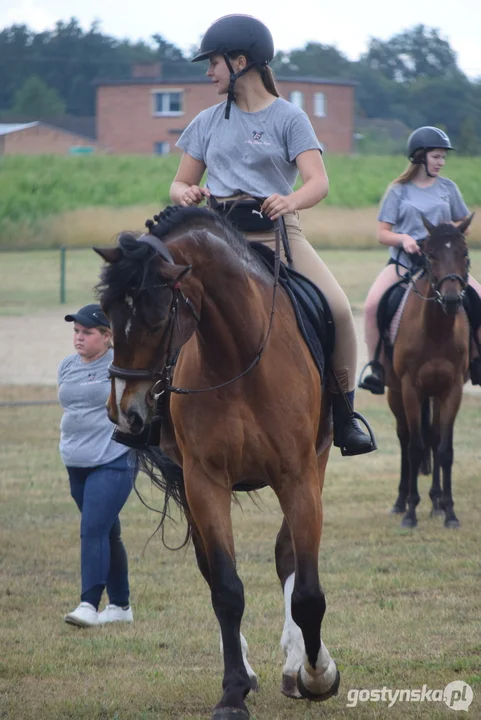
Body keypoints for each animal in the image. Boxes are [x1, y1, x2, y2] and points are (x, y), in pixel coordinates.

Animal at [94, 205, 340, 720]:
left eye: (155, 318)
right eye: (106, 313)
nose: (124, 413)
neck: (238, 355)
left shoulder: (298, 475)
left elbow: (306, 590)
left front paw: (317, 674)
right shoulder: (204, 481)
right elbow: (226, 589)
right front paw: (232, 691)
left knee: (287, 557)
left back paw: (296, 665)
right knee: (211, 572)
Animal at [384, 214, 470, 528]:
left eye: (464, 255)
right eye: (430, 255)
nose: (452, 300)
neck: (435, 332)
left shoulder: (452, 389)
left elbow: (444, 450)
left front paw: (450, 512)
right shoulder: (411, 389)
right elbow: (415, 448)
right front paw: (410, 513)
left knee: (432, 437)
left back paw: (436, 503)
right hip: (395, 393)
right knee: (405, 438)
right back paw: (400, 502)